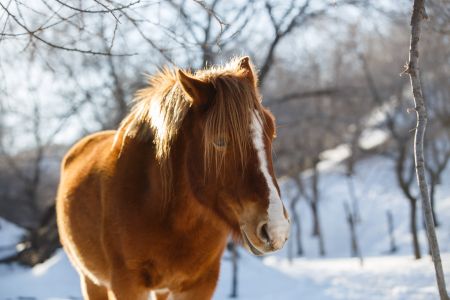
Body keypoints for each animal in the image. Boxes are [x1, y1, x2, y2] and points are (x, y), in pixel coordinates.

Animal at [56, 56, 290, 300]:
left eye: (272, 132)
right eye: (219, 141)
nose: (276, 228)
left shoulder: (200, 285)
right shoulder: (127, 285)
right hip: (92, 281)